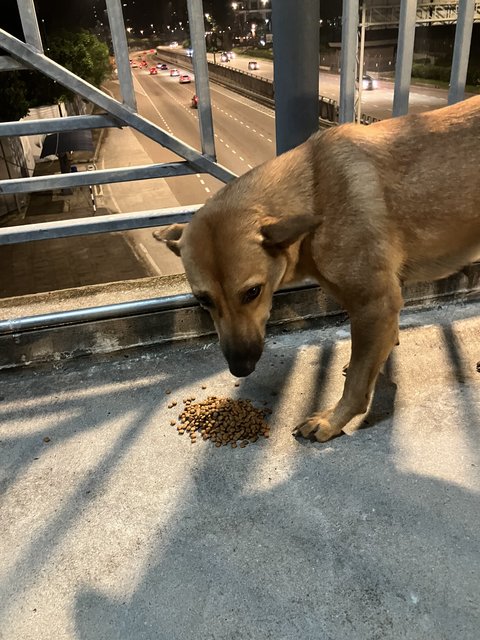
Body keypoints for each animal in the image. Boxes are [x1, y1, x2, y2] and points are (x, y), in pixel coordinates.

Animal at [155, 97, 480, 442]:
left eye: (253, 292)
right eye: (203, 300)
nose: (240, 368)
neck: (315, 191)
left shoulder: (374, 305)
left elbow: (356, 383)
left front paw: (333, 420)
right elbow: (371, 355)